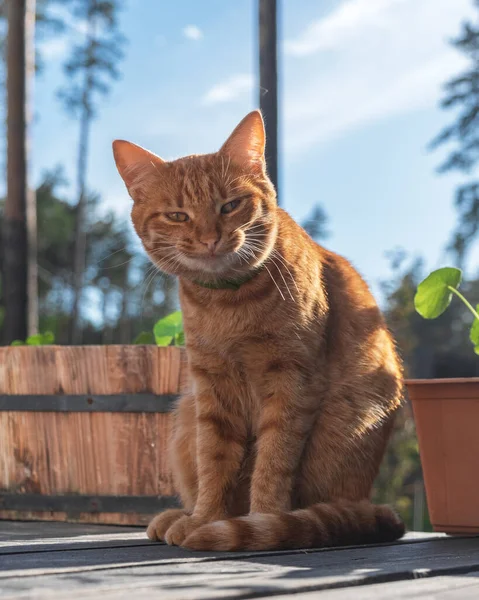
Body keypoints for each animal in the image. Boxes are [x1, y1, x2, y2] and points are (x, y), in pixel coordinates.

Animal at [112, 110, 404, 552]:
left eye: (230, 205)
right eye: (178, 215)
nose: (210, 239)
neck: (228, 304)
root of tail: (366, 502)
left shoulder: (291, 382)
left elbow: (273, 460)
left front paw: (261, 522)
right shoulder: (211, 387)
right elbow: (214, 462)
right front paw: (206, 519)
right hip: (185, 414)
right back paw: (179, 517)